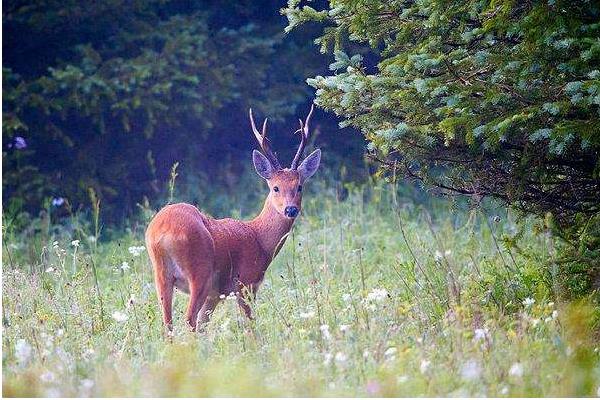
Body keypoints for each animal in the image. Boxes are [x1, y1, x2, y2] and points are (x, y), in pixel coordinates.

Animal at [145, 105, 322, 332]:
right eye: (275, 187)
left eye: (299, 186)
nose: (291, 209)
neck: (259, 239)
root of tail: (162, 232)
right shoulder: (245, 282)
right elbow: (250, 323)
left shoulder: (216, 295)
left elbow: (204, 324)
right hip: (199, 272)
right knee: (188, 319)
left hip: (161, 275)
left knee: (168, 323)